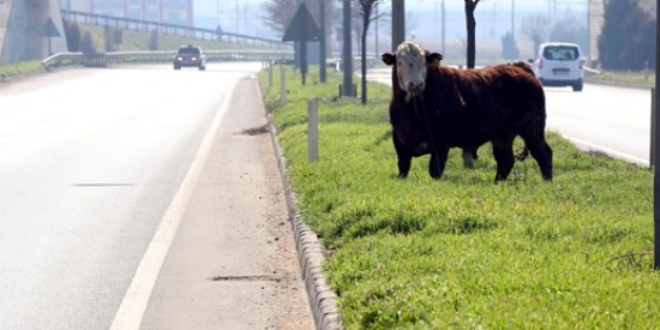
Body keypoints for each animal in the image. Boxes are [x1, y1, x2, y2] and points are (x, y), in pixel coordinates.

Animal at [382, 41, 552, 182]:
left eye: (425, 63)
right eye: (399, 62)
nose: (416, 83)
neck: (410, 114)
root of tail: (518, 67)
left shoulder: (440, 142)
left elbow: (434, 170)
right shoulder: (400, 142)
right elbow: (403, 168)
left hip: (532, 126)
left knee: (543, 153)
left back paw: (547, 181)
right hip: (502, 134)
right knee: (506, 159)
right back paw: (497, 182)